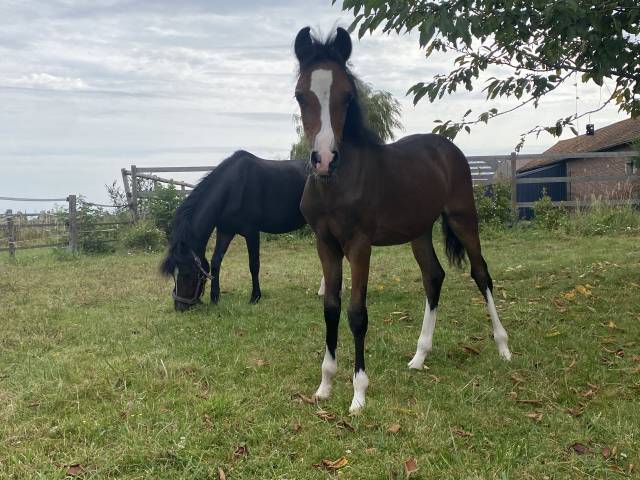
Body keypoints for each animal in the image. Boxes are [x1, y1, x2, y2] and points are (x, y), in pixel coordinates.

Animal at [294, 28, 510, 414]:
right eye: (301, 95)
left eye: (347, 95)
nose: (324, 159)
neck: (337, 183)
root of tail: (447, 148)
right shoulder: (325, 243)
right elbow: (331, 307)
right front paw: (324, 386)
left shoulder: (359, 244)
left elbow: (357, 312)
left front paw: (359, 394)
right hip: (419, 230)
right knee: (433, 277)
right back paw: (419, 357)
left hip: (462, 217)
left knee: (481, 272)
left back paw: (503, 346)